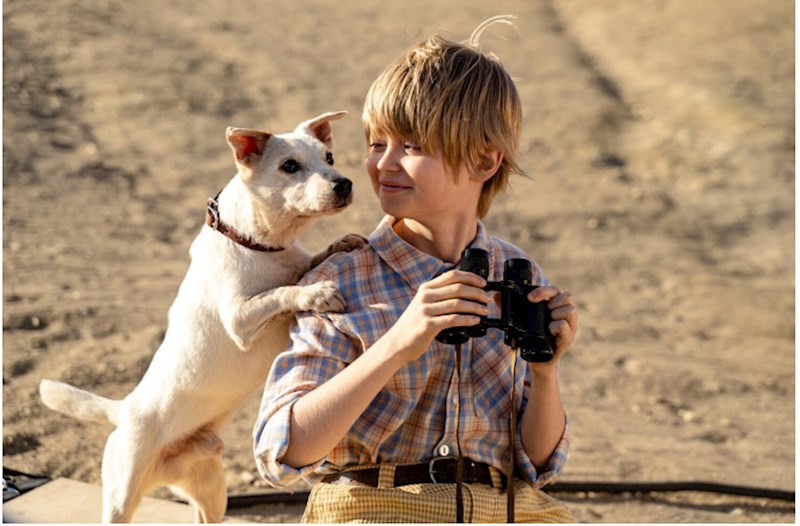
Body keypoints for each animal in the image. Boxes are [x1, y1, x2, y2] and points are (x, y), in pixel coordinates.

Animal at [39, 111, 360, 524]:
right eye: (289, 166)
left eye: (329, 157)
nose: (344, 183)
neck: (256, 244)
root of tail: (124, 409)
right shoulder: (240, 319)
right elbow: (282, 291)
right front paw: (315, 293)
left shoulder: (293, 264)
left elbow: (306, 265)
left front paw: (340, 244)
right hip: (121, 496)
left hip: (212, 494)